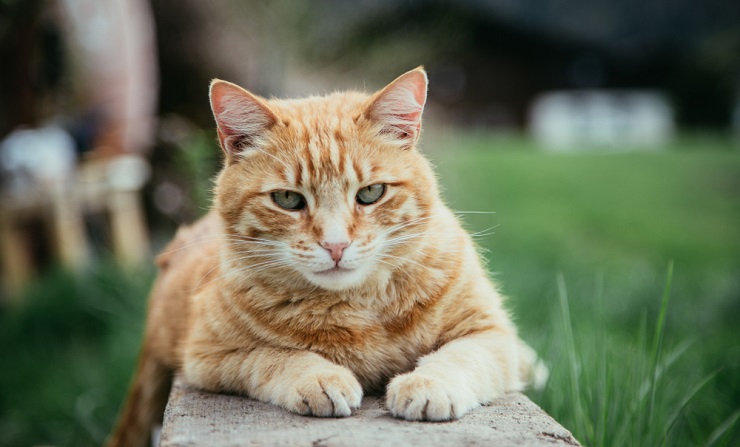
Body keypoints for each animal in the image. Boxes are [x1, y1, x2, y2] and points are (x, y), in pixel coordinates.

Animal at [107, 67, 544, 447]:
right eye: (287, 199)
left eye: (371, 193)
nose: (336, 245)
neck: (360, 306)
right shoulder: (207, 357)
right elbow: (274, 356)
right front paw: (319, 378)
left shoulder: (490, 334)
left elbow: (459, 357)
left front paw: (427, 383)